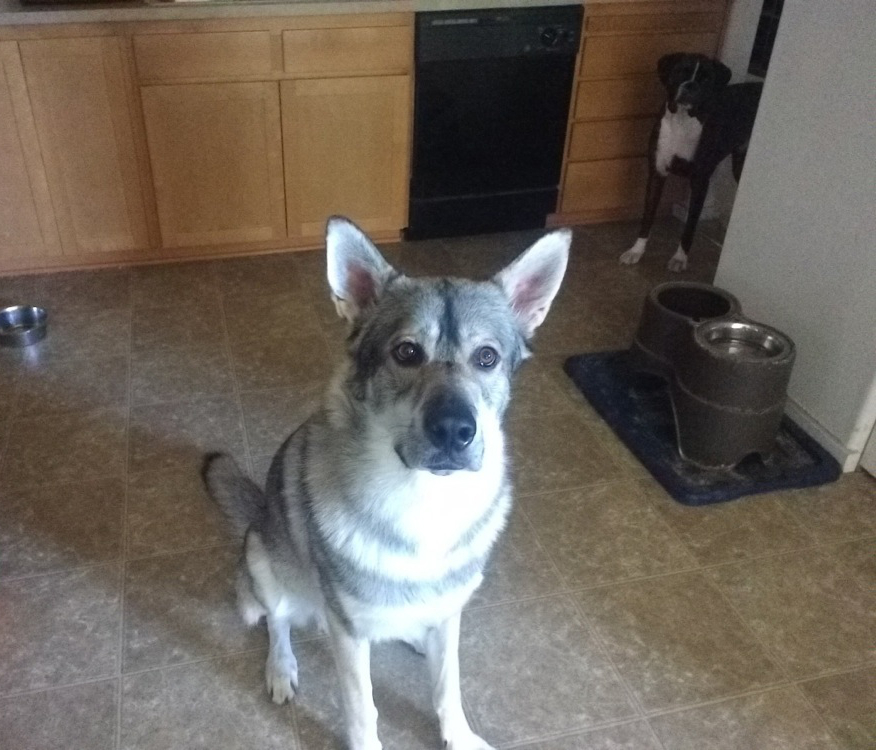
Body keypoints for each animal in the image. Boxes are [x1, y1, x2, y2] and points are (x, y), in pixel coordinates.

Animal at [202, 216, 570, 750]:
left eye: (487, 357)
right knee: (278, 622)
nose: (454, 431)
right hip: (261, 563)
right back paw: (281, 667)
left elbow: (448, 687)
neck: (426, 502)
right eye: (407, 352)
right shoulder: (350, 633)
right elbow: (363, 709)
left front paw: (458, 735)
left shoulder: (450, 613)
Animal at [619, 52, 763, 271]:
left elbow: (690, 224)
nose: (691, 86)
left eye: (706, 79)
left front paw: (680, 258)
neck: (682, 121)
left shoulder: (700, 182)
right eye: (680, 72)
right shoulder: (657, 173)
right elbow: (647, 217)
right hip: (740, 164)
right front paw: (637, 250)